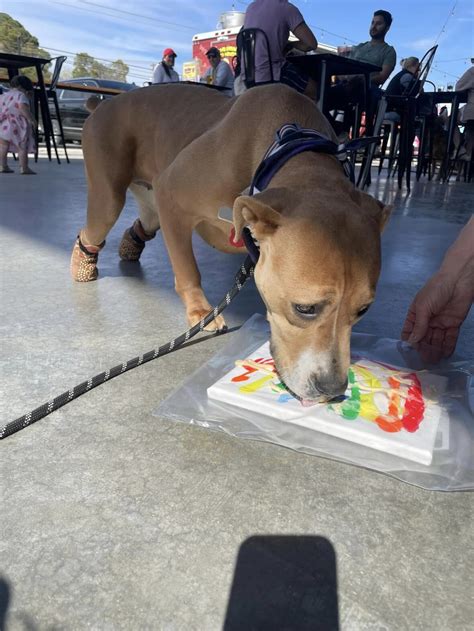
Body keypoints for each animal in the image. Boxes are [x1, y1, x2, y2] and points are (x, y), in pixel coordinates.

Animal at [72, 84, 390, 402]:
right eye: (305, 309)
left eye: (363, 310)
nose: (333, 390)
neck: (289, 146)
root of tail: (103, 104)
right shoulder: (170, 195)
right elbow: (187, 269)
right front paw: (201, 312)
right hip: (109, 197)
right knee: (95, 227)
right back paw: (83, 264)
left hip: (148, 208)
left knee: (144, 224)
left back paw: (129, 246)